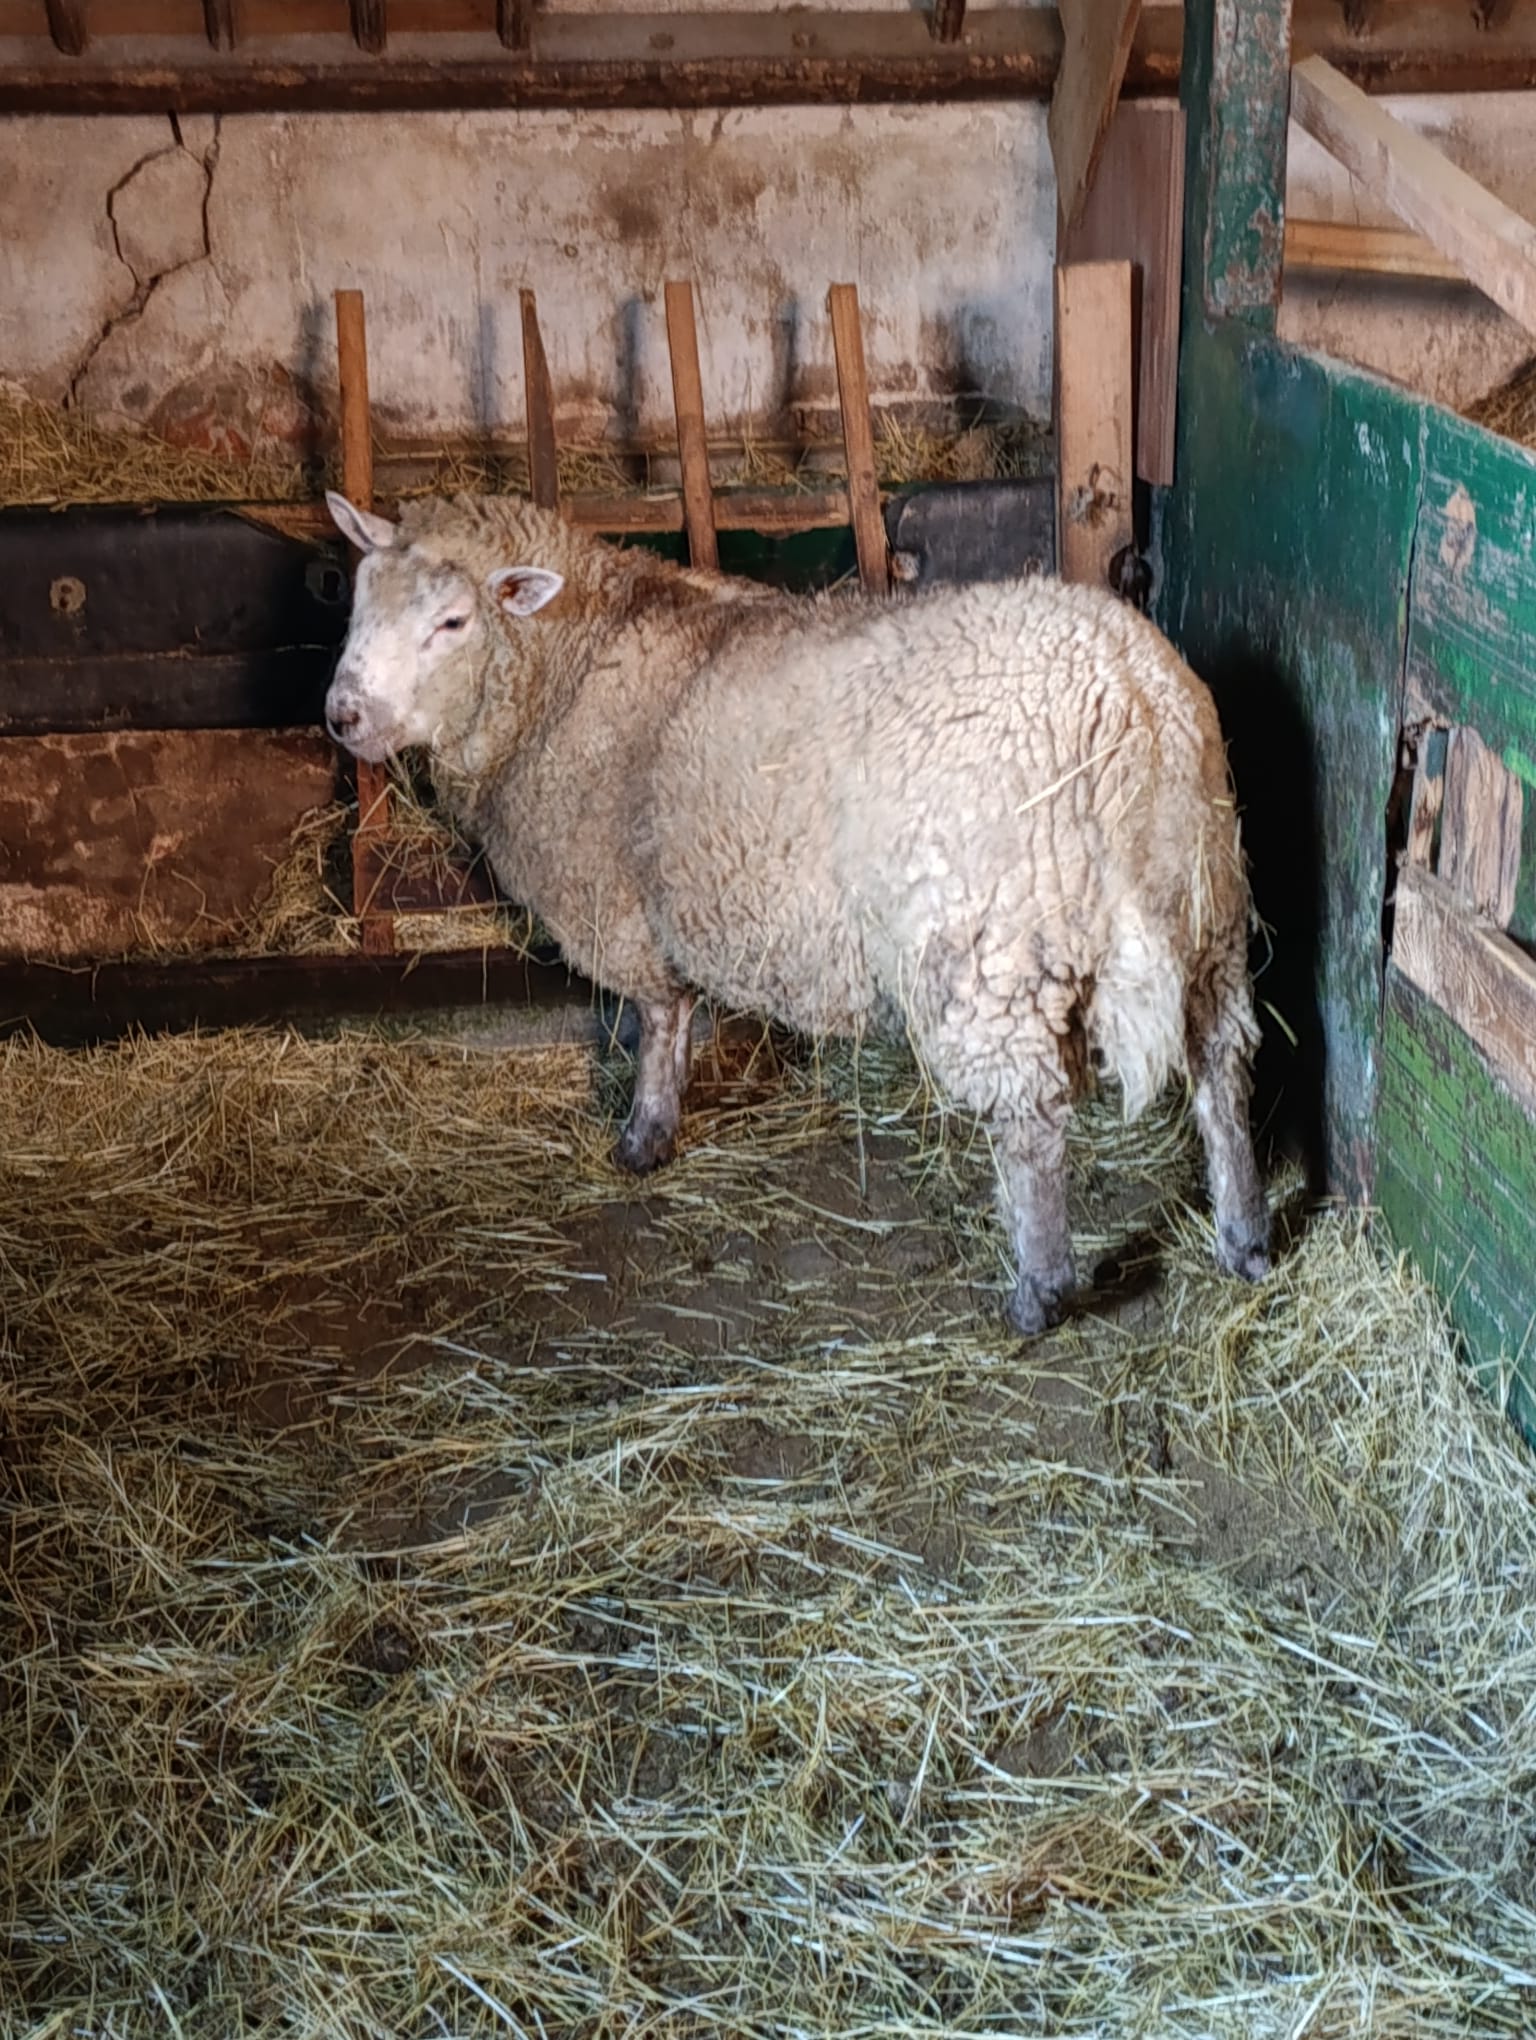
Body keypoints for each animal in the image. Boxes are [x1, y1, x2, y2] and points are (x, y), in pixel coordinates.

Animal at [324, 489, 1270, 1334]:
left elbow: (657, 1018)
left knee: (1033, 1119)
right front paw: (654, 1130)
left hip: (991, 950)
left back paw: (1038, 1293)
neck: (573, 666)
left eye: (453, 623)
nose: (342, 715)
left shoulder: (623, 904)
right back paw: (1245, 1240)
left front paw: (643, 1134)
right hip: (1208, 910)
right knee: (1222, 1072)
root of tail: (1129, 699)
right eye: (359, 597)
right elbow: (672, 1015)